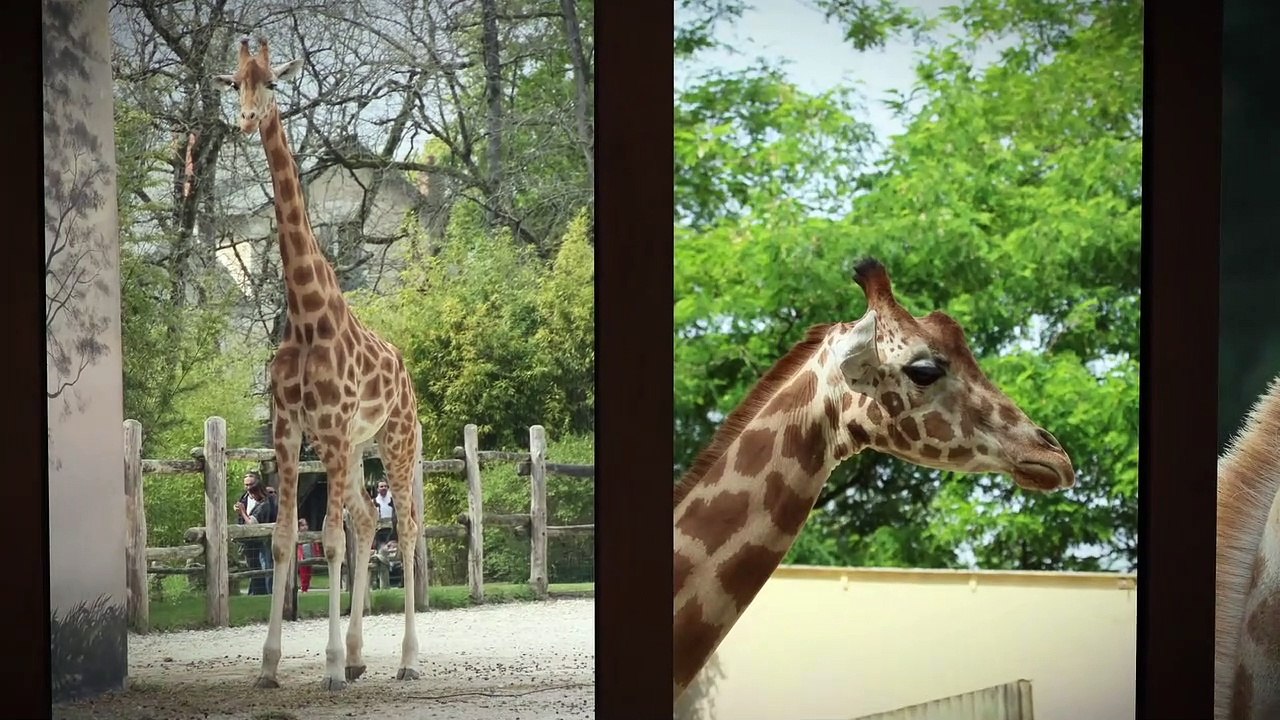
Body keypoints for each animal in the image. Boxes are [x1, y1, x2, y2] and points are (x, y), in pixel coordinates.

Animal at [212, 37, 423, 691]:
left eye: (273, 83)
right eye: (235, 83)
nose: (247, 120)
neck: (307, 314)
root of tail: (408, 377)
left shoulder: (326, 428)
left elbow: (325, 541)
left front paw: (326, 668)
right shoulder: (290, 430)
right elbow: (285, 539)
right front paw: (270, 666)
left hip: (395, 441)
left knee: (403, 528)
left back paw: (406, 660)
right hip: (354, 449)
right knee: (367, 520)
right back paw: (358, 656)